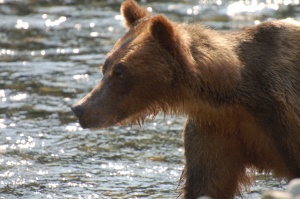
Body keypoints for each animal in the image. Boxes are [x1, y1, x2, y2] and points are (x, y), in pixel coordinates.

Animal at [71, 0, 300, 198]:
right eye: (105, 67)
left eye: (119, 72)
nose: (79, 108)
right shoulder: (216, 129)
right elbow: (206, 184)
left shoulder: (281, 116)